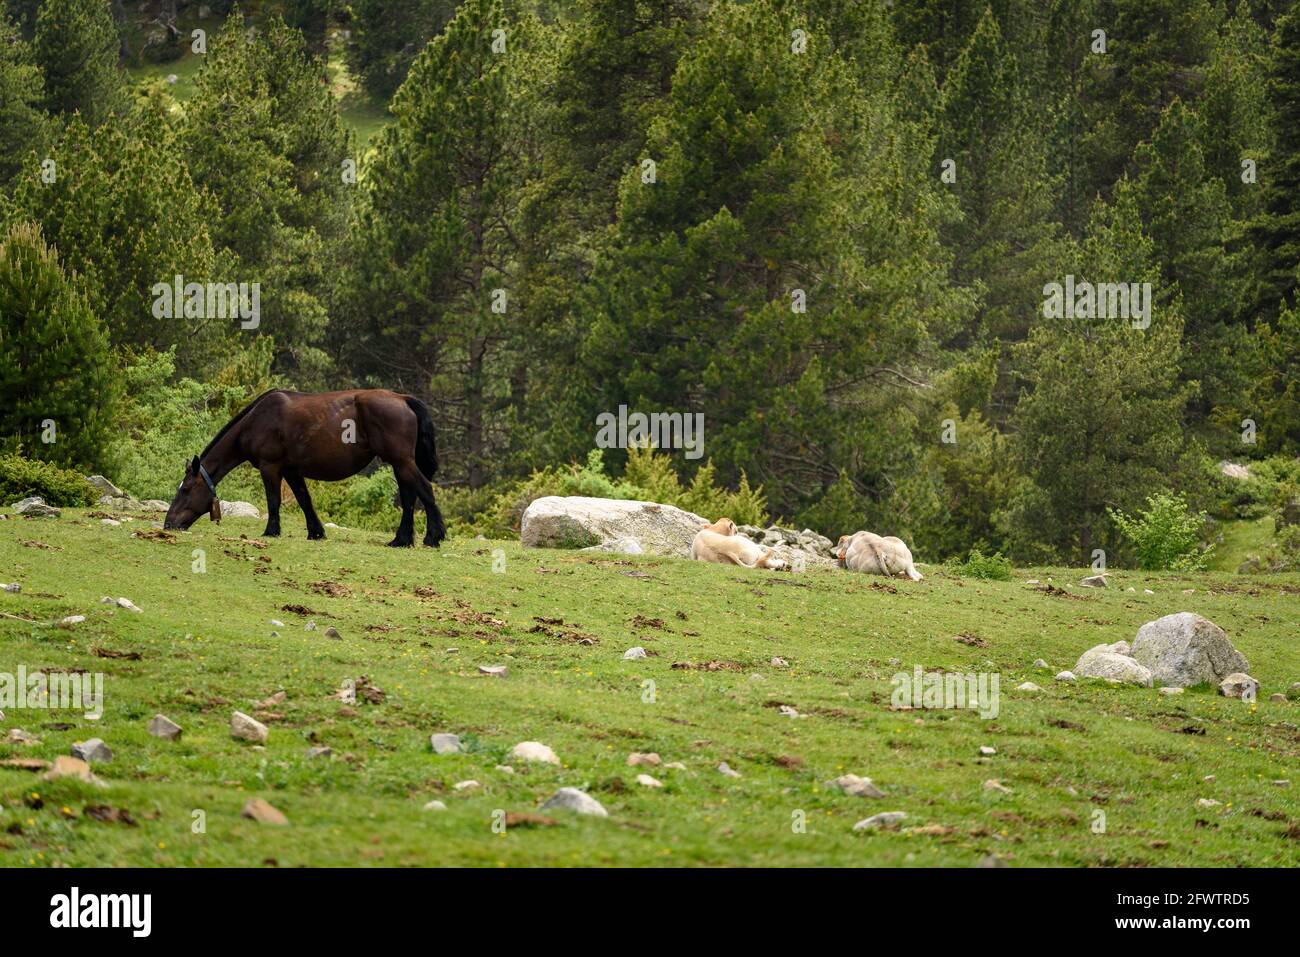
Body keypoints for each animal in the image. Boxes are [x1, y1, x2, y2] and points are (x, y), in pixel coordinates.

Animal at [163, 390, 447, 548]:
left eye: (185, 490)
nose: (168, 524)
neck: (258, 419)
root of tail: (403, 399)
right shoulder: (292, 470)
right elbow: (304, 500)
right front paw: (316, 532)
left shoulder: (270, 467)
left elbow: (274, 500)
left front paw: (271, 531)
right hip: (400, 463)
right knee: (409, 498)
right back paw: (402, 540)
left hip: (401, 461)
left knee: (424, 489)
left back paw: (433, 537)